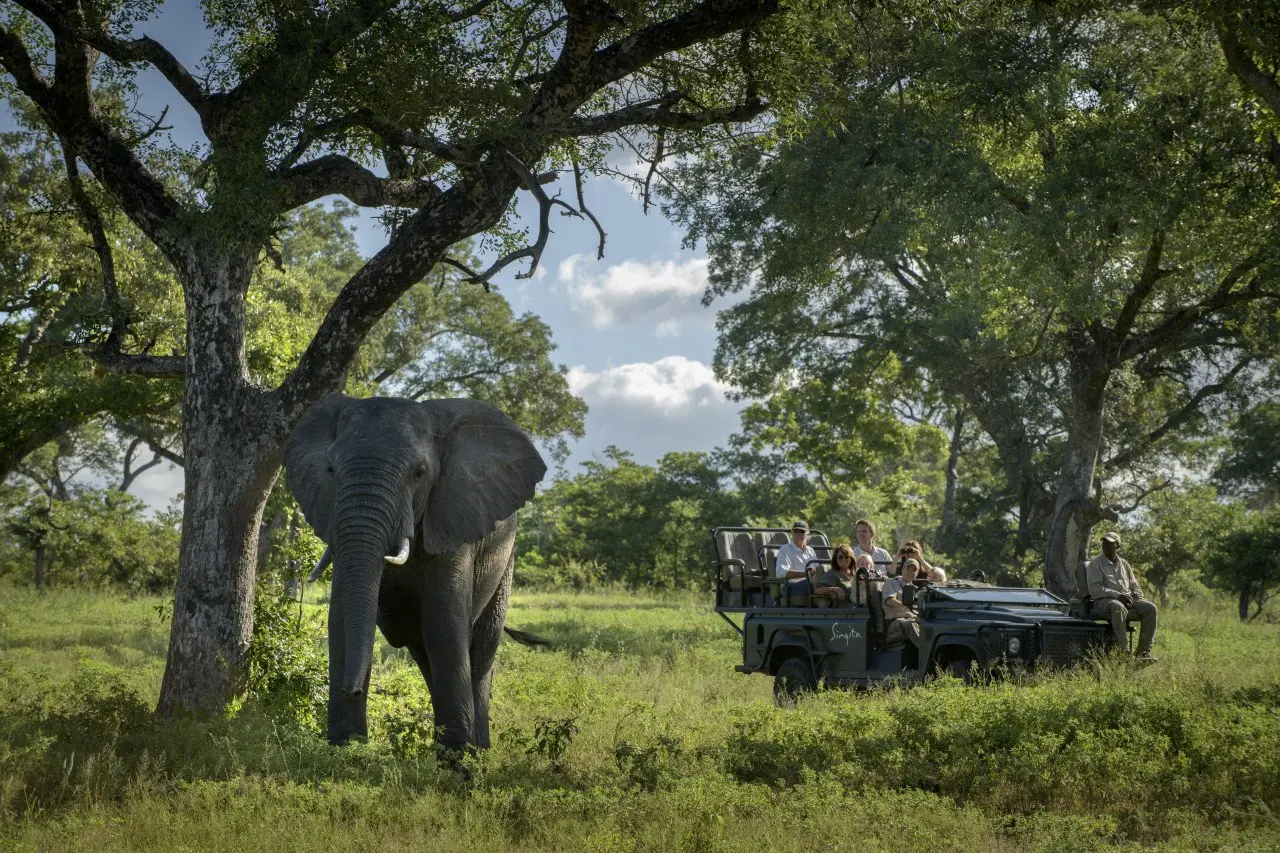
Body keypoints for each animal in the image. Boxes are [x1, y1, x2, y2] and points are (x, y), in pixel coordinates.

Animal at [285, 391, 545, 742]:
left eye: (419, 474)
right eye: (331, 470)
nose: (352, 690)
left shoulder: (452, 520)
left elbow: (444, 622)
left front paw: (459, 755)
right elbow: (340, 615)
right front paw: (345, 746)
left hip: (506, 560)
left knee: (480, 652)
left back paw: (478, 746)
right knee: (425, 654)